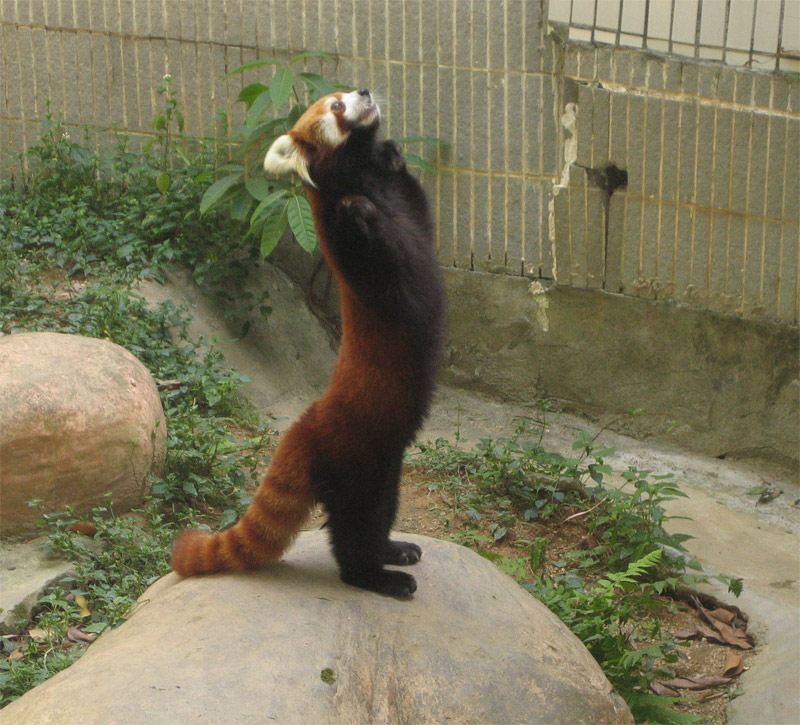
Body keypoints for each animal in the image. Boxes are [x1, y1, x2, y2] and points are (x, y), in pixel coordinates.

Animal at [171, 90, 444, 596]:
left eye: (348, 92)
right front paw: (359, 212)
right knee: (356, 527)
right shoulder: (349, 259)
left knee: (380, 513)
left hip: (387, 464)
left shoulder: (409, 210)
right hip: (356, 464)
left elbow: (418, 204)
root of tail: (307, 427)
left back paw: (393, 549)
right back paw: (377, 576)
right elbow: (371, 259)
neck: (364, 182)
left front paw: (392, 153)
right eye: (335, 106)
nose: (365, 93)